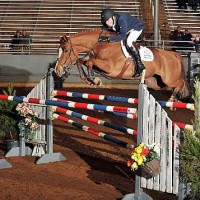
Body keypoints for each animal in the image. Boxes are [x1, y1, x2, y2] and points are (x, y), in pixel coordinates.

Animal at [54, 28, 189, 101]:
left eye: (65, 50)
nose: (58, 70)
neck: (102, 45)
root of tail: (173, 54)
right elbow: (81, 62)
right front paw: (90, 80)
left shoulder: (110, 68)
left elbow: (89, 62)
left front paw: (95, 80)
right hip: (155, 82)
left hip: (168, 79)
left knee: (180, 82)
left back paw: (172, 101)